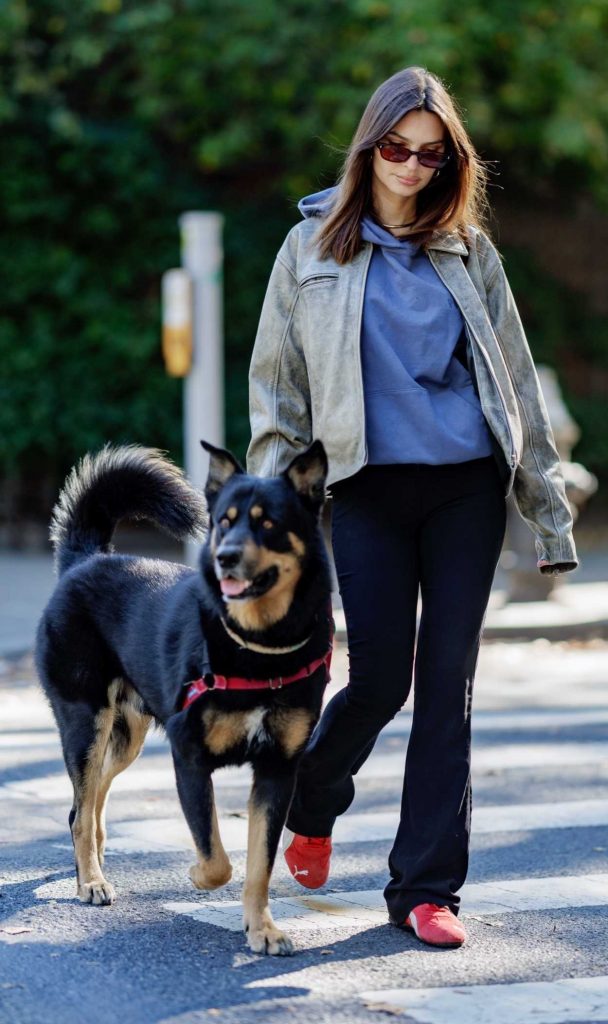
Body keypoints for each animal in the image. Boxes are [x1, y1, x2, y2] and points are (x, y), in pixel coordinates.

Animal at [34, 438, 331, 950]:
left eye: (268, 522)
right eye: (224, 520)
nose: (225, 556)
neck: (257, 647)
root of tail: (87, 560)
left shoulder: (277, 771)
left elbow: (259, 864)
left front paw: (263, 928)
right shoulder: (188, 756)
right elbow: (216, 859)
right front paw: (196, 877)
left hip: (124, 737)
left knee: (90, 799)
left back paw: (93, 862)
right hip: (86, 723)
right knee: (79, 809)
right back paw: (90, 881)